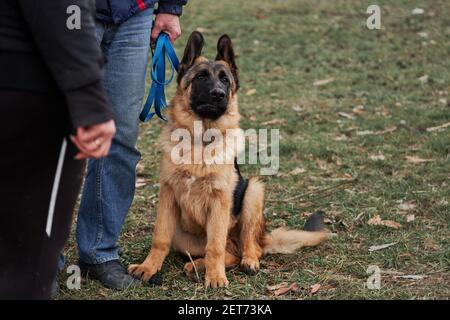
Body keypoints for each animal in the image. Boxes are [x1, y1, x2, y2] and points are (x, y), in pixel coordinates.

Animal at [128, 31, 328, 288]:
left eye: (225, 80)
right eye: (201, 77)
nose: (218, 94)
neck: (201, 141)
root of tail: (265, 237)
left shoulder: (220, 201)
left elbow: (215, 246)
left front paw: (215, 276)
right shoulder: (168, 195)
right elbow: (160, 238)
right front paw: (148, 267)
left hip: (254, 191)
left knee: (244, 246)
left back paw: (244, 261)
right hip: (184, 237)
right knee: (227, 251)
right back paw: (197, 265)